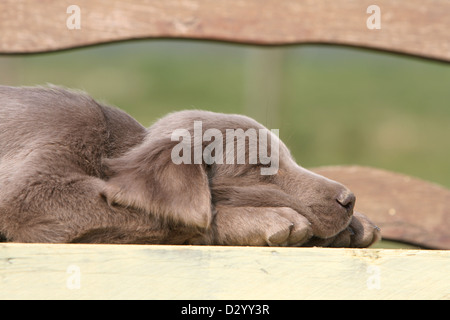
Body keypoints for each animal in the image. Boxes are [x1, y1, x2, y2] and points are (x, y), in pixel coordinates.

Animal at [0, 85, 380, 248]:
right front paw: (266, 219)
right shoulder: (32, 193)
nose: (349, 200)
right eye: (262, 165)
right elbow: (187, 216)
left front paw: (355, 225)